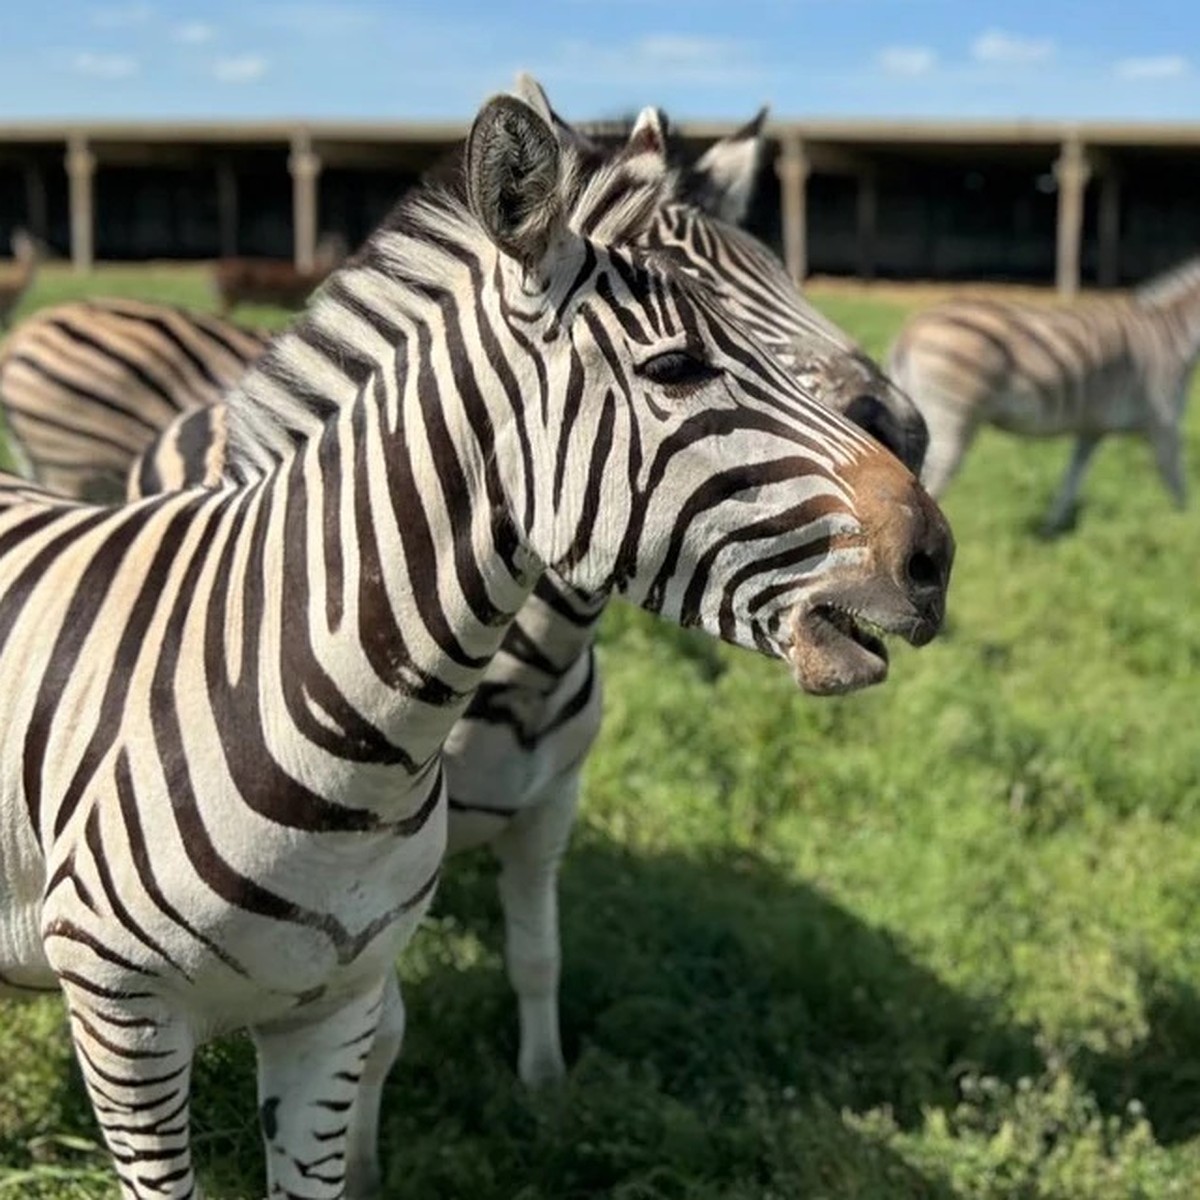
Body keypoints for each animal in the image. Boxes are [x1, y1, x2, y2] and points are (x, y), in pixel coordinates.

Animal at [888, 258, 1200, 530]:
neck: (1174, 334)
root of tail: (911, 330)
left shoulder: (1094, 427)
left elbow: (1072, 478)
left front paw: (1051, 529)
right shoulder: (1164, 419)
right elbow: (1176, 479)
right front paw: (1184, 529)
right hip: (951, 419)